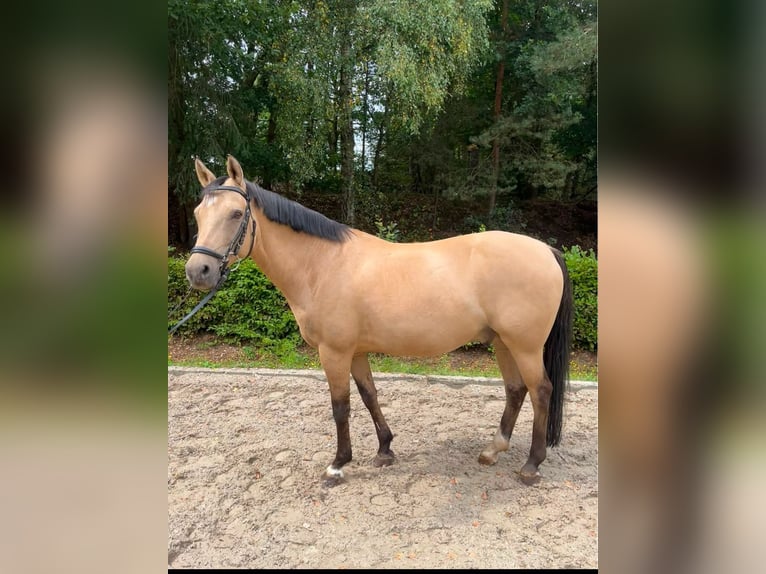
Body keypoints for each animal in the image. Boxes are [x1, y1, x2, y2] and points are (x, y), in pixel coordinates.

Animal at [183, 155, 573, 486]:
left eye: (236, 214)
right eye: (198, 214)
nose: (198, 271)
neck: (323, 265)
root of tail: (545, 249)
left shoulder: (334, 352)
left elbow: (341, 407)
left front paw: (337, 465)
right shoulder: (355, 352)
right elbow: (369, 395)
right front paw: (385, 449)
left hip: (525, 345)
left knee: (541, 390)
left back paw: (531, 465)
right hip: (503, 342)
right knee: (515, 389)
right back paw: (493, 450)